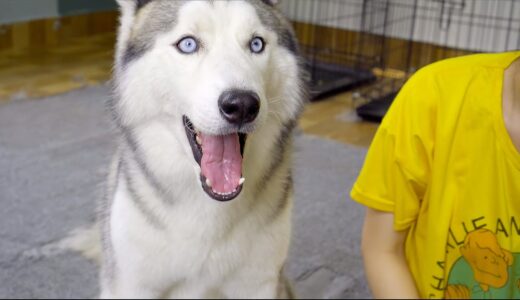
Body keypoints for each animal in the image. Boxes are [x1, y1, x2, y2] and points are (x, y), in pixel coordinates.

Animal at [99, 0, 306, 298]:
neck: (210, 207)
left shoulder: (259, 283)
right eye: (188, 44)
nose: (242, 104)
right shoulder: (134, 285)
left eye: (256, 44)